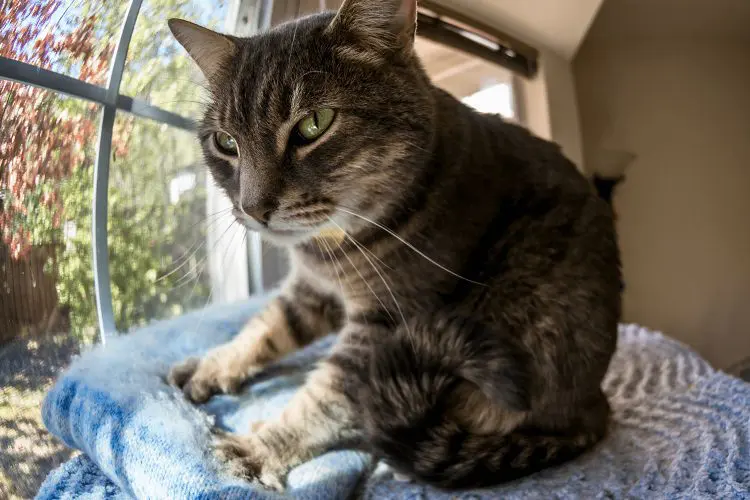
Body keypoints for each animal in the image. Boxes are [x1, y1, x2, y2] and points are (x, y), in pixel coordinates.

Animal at [169, 0, 624, 492]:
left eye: (313, 124)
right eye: (225, 142)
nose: (252, 209)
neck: (328, 248)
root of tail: (594, 405)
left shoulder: (385, 321)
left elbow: (326, 397)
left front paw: (260, 447)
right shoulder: (309, 289)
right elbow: (264, 327)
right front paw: (214, 365)